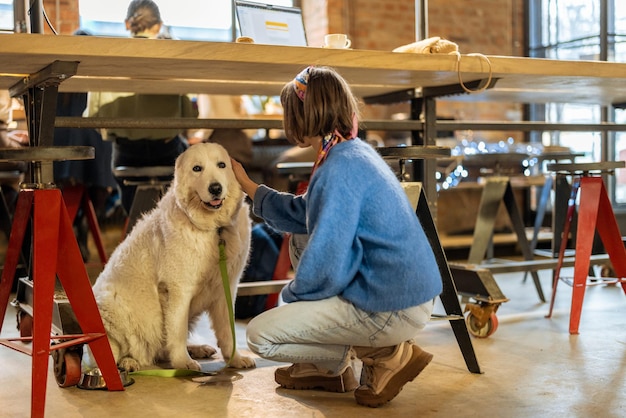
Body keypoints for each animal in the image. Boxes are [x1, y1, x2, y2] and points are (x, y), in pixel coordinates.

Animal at [91, 142, 252, 370]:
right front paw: (183, 363)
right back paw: (127, 363)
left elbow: (227, 331)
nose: (215, 188)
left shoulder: (225, 288)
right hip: (110, 303)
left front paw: (235, 359)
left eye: (222, 165)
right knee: (109, 353)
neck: (214, 229)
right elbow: (177, 330)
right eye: (197, 169)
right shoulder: (178, 290)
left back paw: (197, 349)